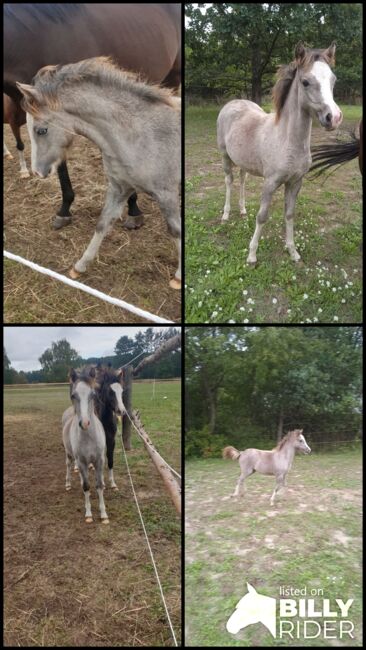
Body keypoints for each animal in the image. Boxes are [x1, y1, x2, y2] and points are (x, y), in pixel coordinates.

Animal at [217, 42, 344, 264]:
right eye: (305, 82)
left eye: (333, 80)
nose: (334, 118)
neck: (287, 141)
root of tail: (232, 103)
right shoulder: (270, 183)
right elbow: (262, 216)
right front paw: (252, 255)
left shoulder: (295, 182)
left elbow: (290, 214)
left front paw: (293, 252)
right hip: (225, 157)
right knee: (229, 181)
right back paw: (225, 215)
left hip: (243, 161)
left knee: (241, 179)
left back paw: (242, 210)